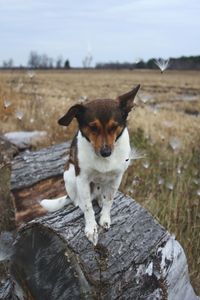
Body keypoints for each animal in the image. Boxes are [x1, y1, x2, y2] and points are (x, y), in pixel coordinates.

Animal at [40, 85, 141, 246]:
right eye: (93, 127)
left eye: (114, 127)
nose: (106, 152)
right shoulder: (82, 178)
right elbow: (88, 207)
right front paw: (91, 228)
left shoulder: (116, 178)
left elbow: (109, 200)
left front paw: (105, 218)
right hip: (69, 173)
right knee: (78, 201)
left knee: (101, 196)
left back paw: (99, 199)